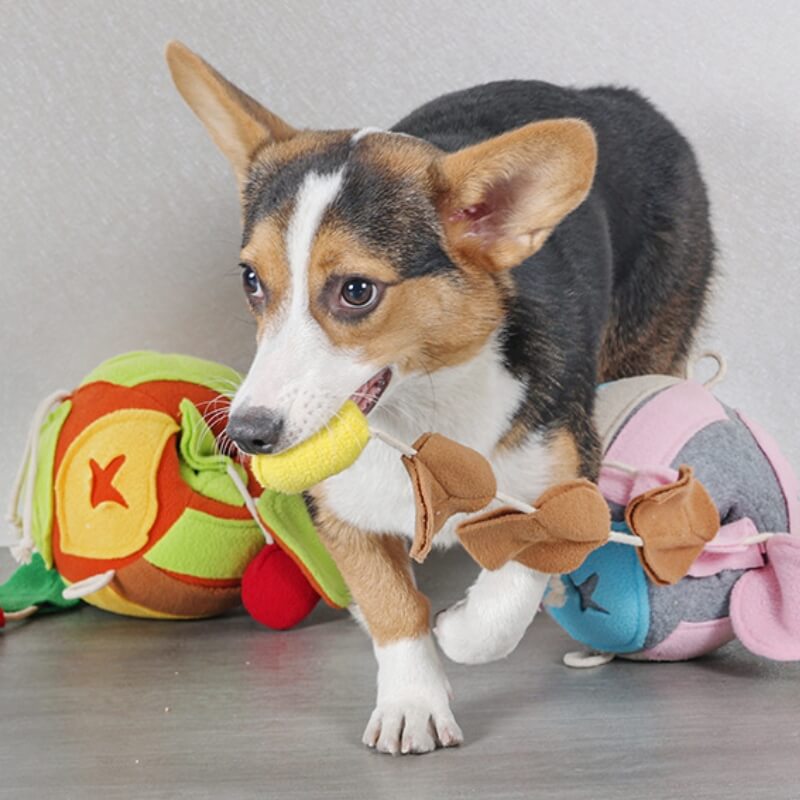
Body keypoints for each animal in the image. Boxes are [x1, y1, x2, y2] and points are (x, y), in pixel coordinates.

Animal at [166, 42, 716, 756]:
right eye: (251, 279)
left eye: (356, 291)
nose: (250, 434)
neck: (419, 420)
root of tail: (612, 97)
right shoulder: (341, 514)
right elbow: (393, 606)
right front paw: (412, 703)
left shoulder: (563, 485)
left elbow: (511, 586)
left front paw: (460, 626)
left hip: (645, 354)